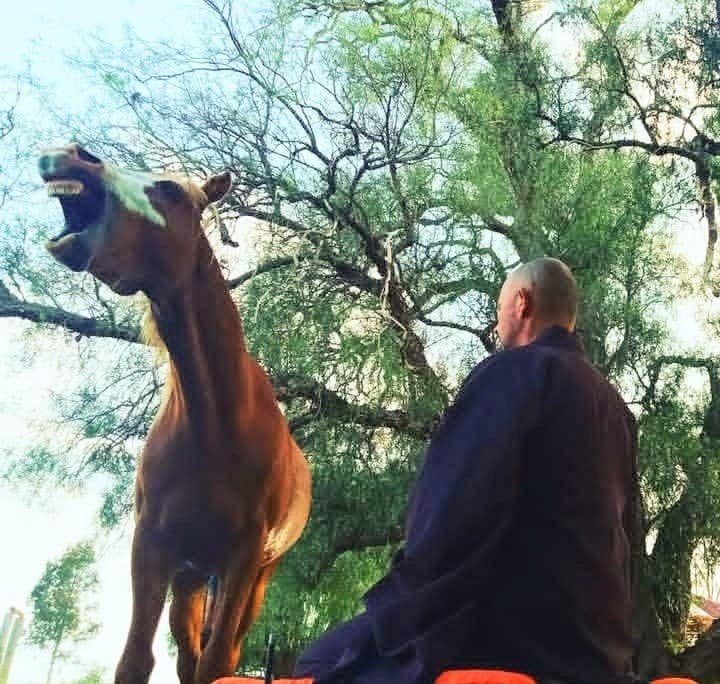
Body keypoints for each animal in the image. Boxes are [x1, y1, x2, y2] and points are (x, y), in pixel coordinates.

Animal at [38, 144, 312, 684]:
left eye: (169, 190)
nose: (75, 155)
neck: (216, 424)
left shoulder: (242, 557)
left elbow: (217, 662)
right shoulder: (153, 545)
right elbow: (136, 660)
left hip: (254, 577)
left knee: (217, 651)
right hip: (190, 577)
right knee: (187, 652)